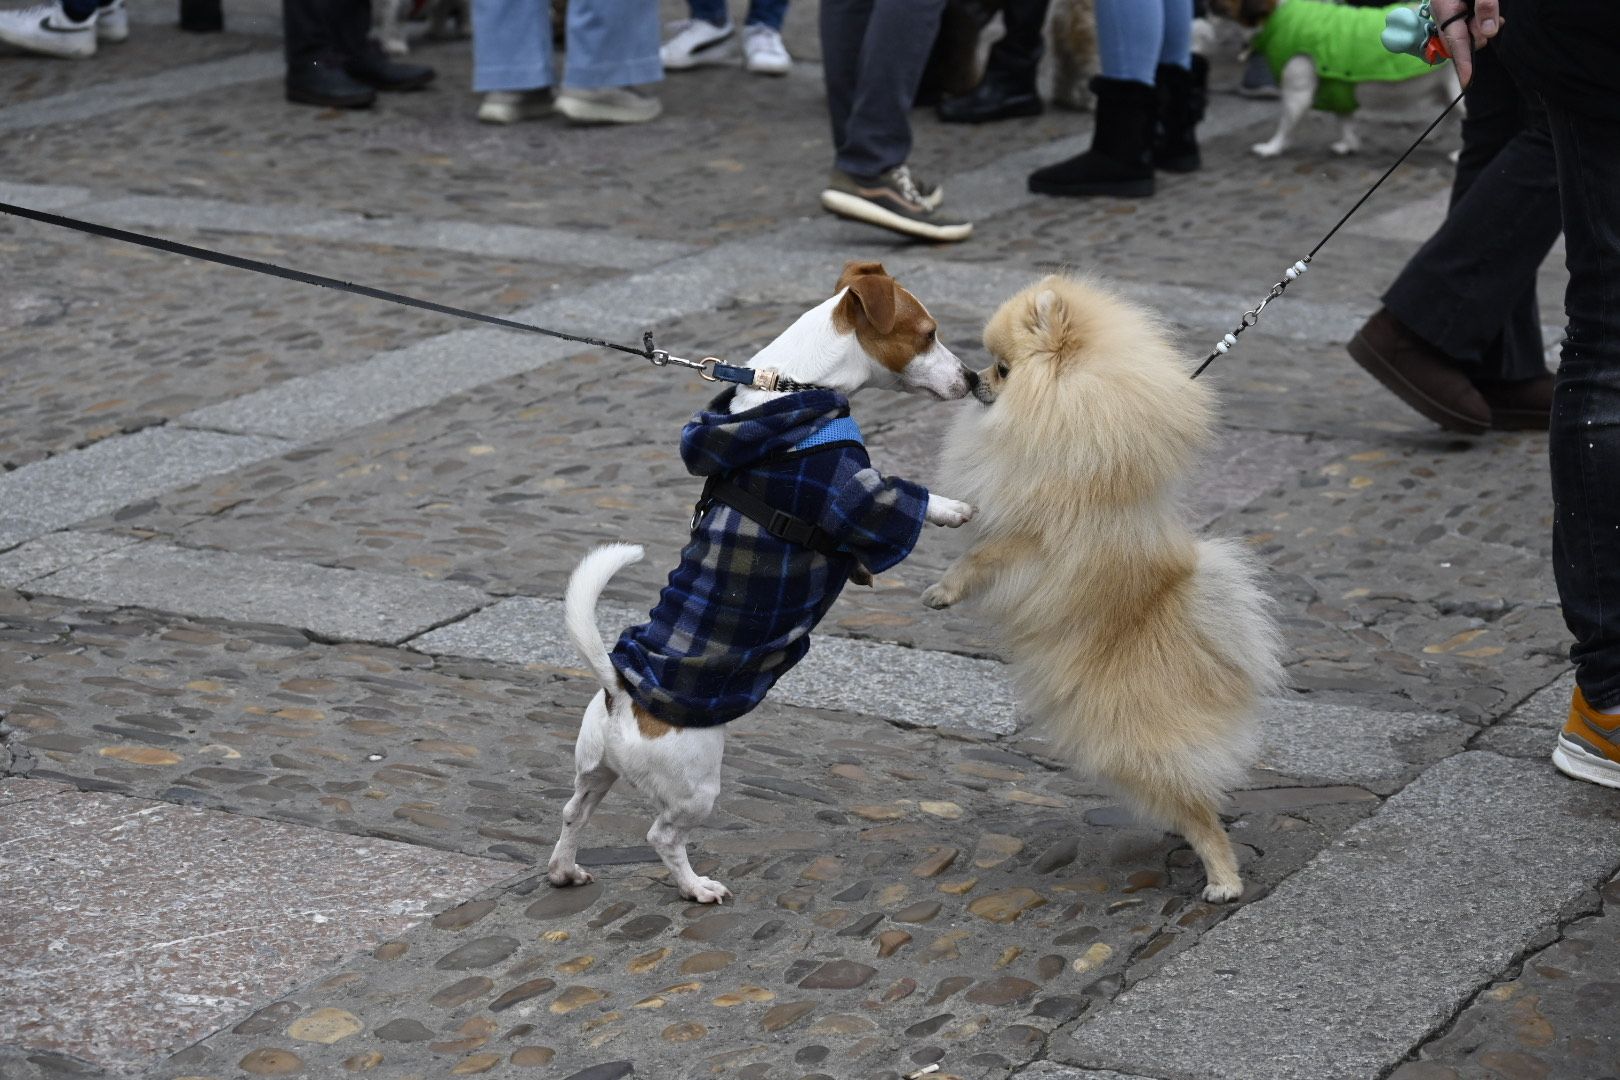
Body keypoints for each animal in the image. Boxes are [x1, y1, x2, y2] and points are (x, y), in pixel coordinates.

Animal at [926, 275, 1276, 900]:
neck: (1060, 411)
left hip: (1129, 747)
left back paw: (1223, 880)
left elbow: (979, 556)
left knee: (1199, 811)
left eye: (1003, 368)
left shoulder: (1031, 540)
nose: (972, 379)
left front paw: (944, 590)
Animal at [1211, 0, 1464, 158]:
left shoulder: (1297, 94)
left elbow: (1285, 124)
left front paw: (1272, 148)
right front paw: (1348, 145)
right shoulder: (1340, 89)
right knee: (1452, 115)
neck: (1280, 16)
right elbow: (1345, 120)